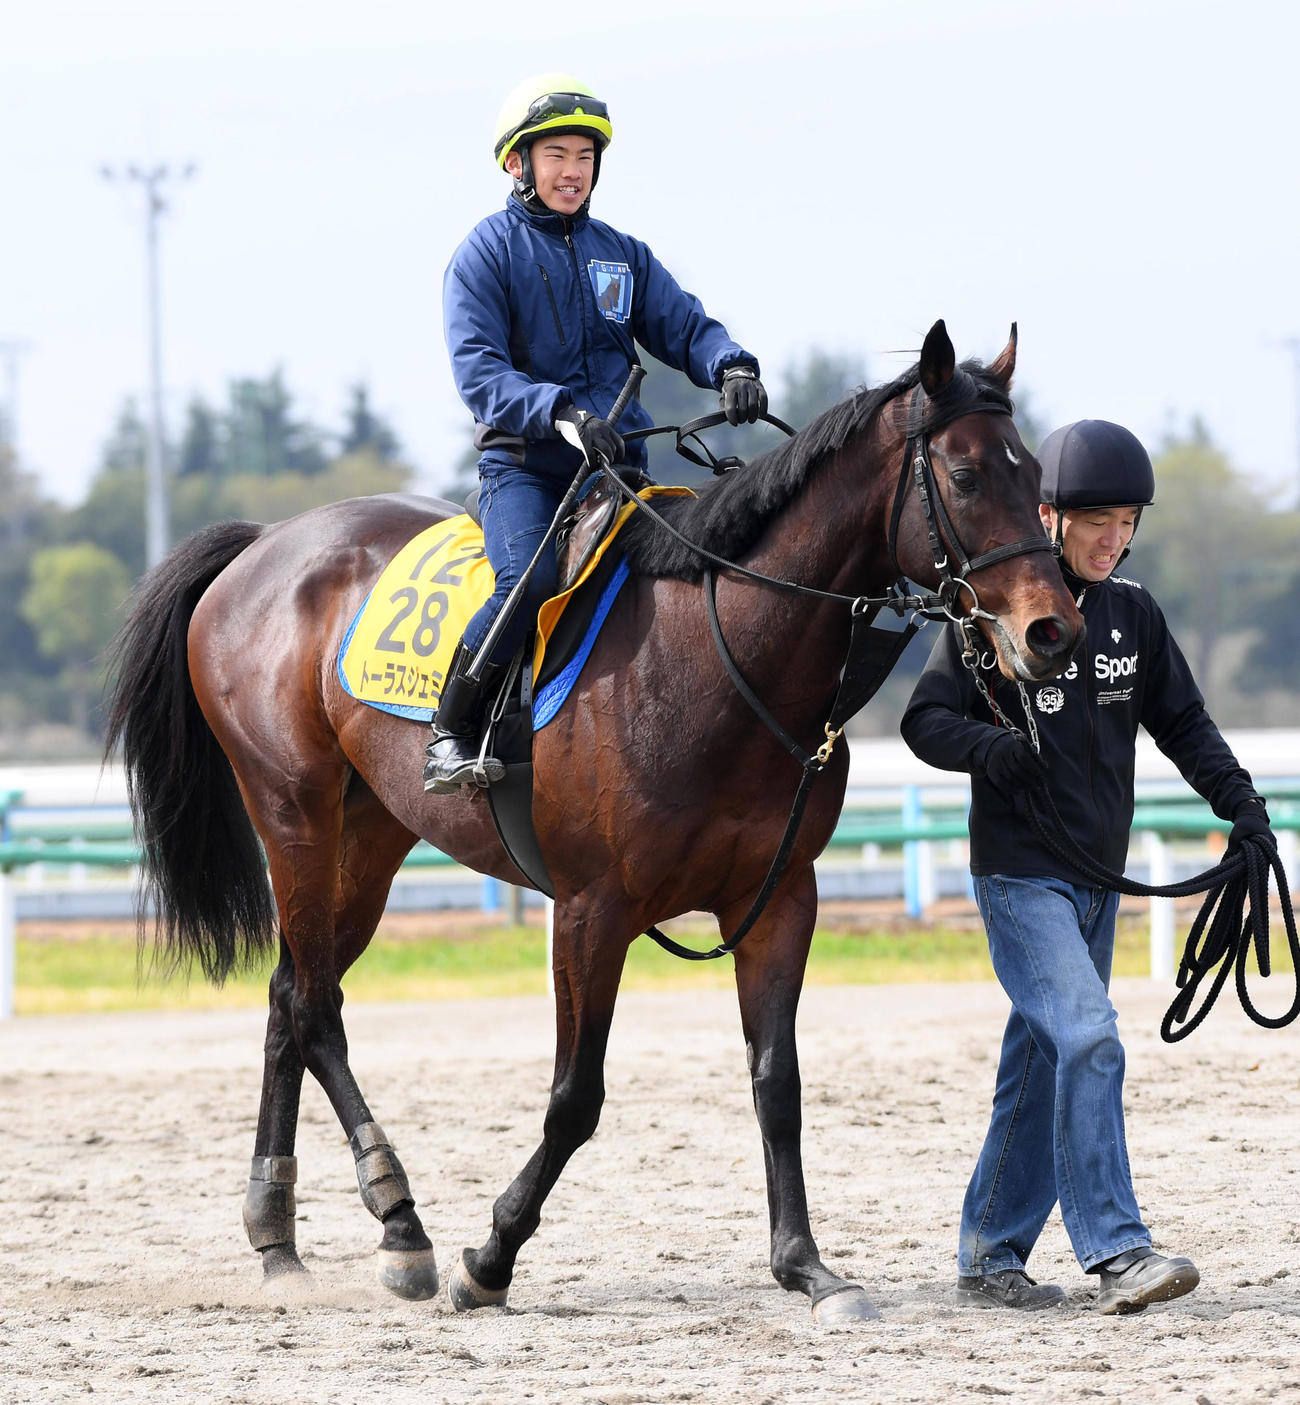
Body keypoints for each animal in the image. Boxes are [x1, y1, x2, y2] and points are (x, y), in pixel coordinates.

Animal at [105, 320, 1084, 1325]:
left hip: (369, 836)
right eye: (965, 475)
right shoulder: (590, 910)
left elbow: (777, 1081)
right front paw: (489, 1257)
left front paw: (806, 1265)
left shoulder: (779, 900)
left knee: (288, 996)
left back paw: (278, 1237)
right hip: (292, 813)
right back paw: (401, 1220)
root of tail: (264, 545)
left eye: (1031, 477)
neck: (718, 654)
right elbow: (576, 1097)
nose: (1051, 630)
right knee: (314, 1007)